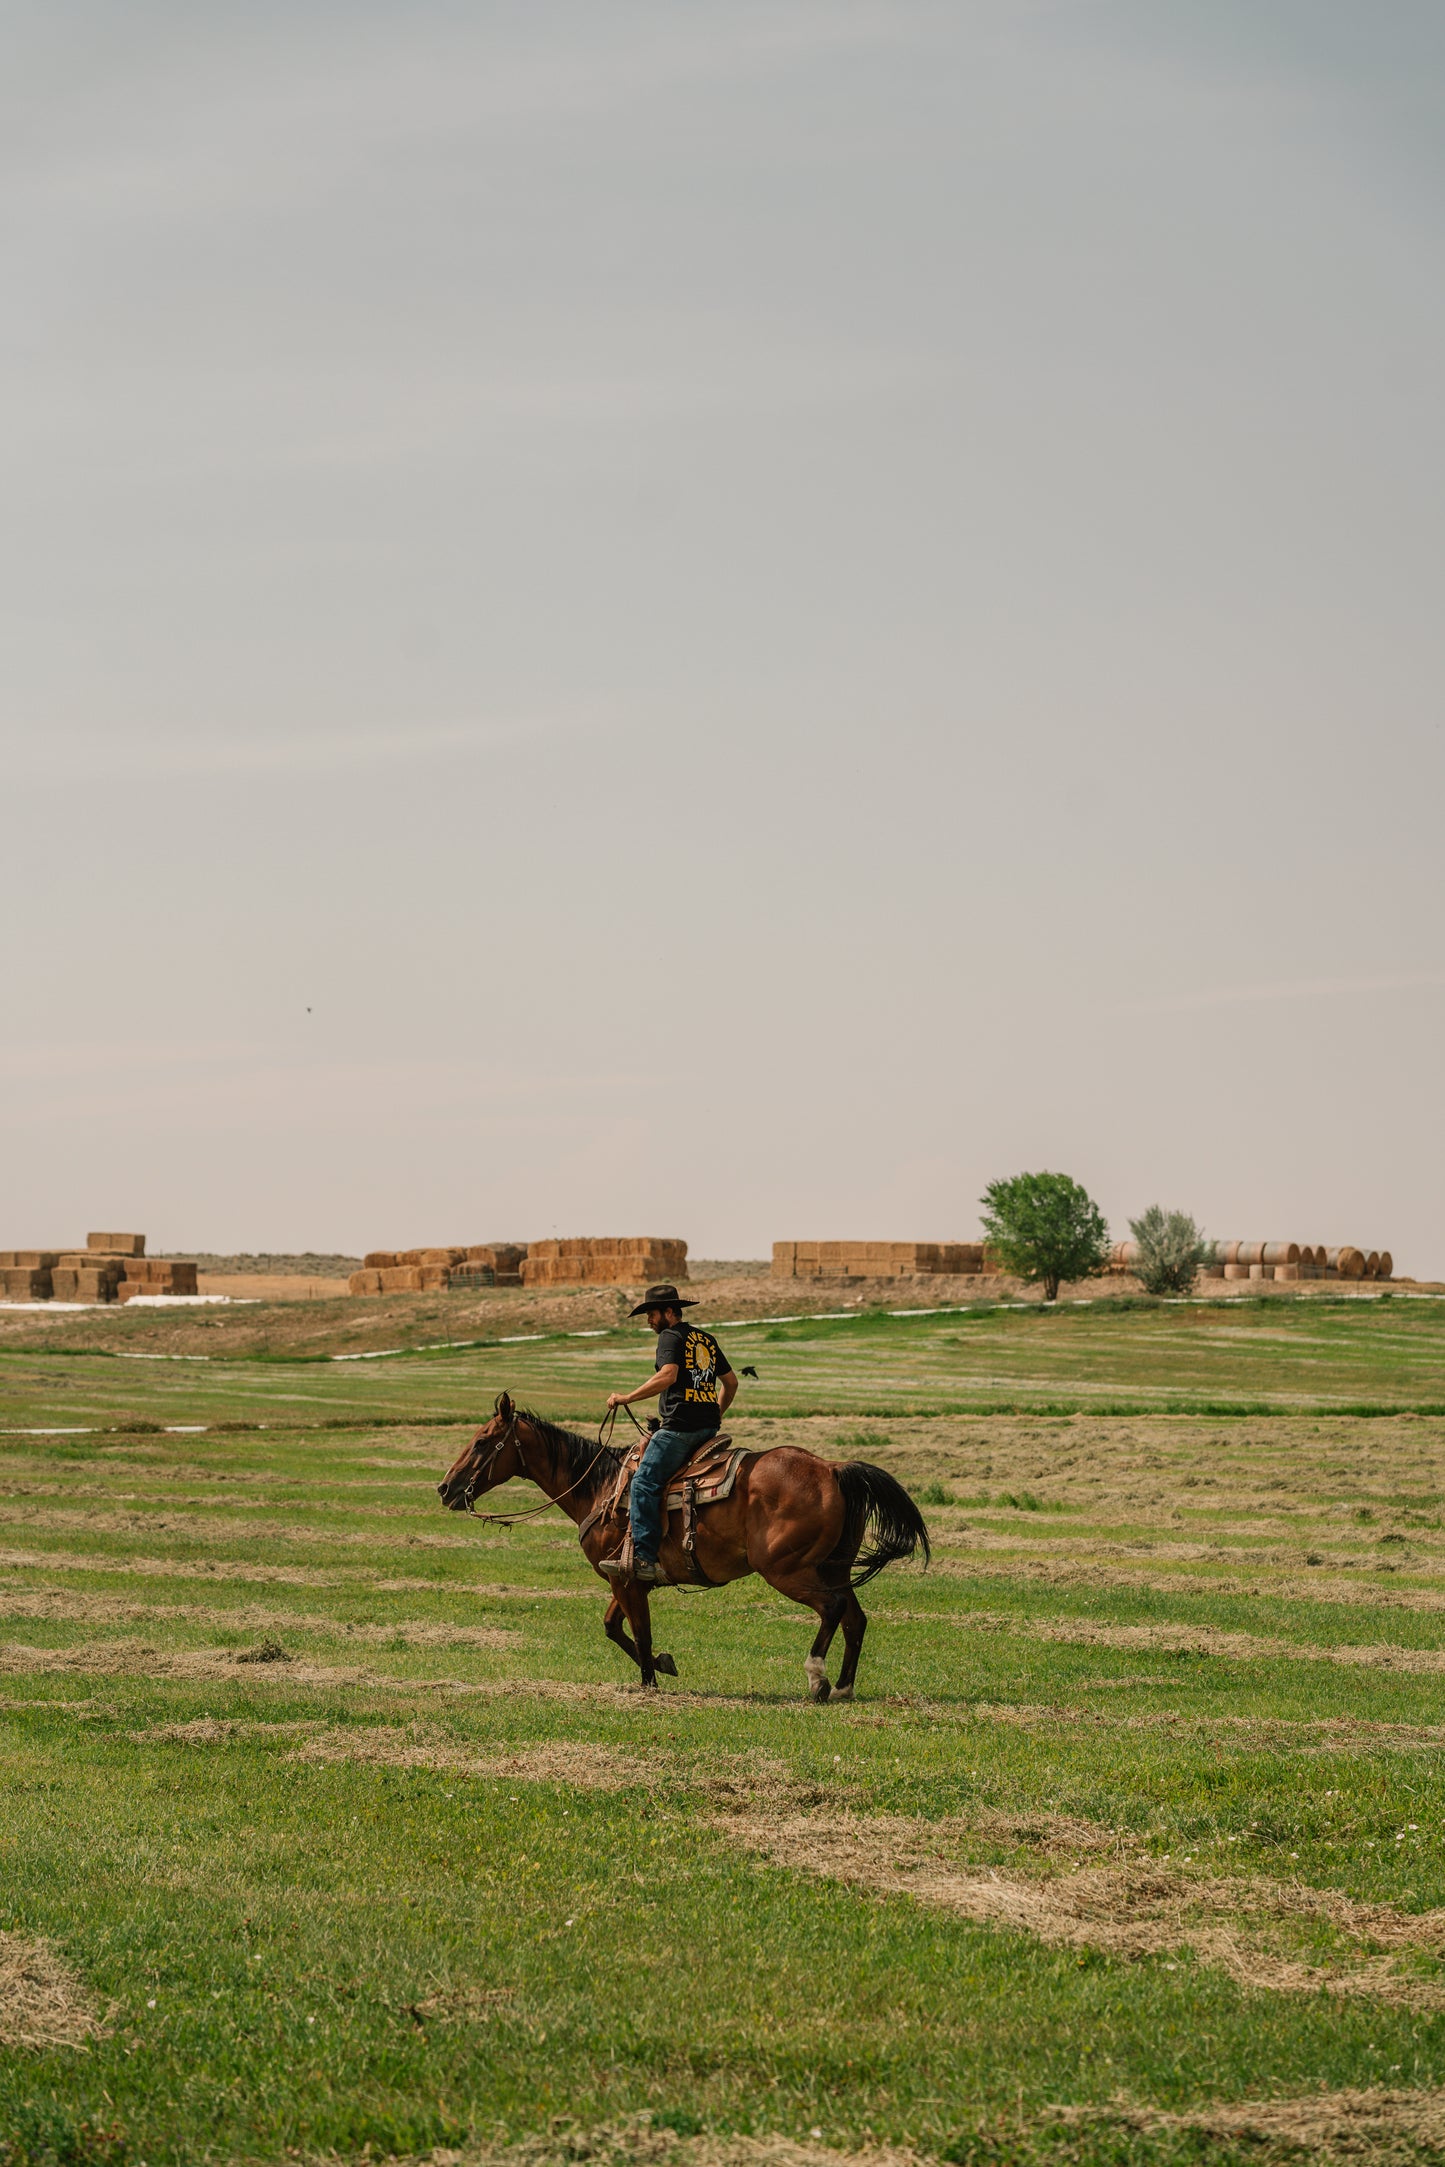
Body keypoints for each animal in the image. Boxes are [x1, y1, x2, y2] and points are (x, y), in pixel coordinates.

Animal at [437, 1395, 927, 1698]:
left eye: (482, 1441)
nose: (445, 1488)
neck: (599, 1487)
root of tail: (832, 1468)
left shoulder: (626, 1581)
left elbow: (638, 1631)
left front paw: (649, 1683)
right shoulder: (628, 1578)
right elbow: (614, 1628)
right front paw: (663, 1664)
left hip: (788, 1570)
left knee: (832, 1609)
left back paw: (817, 1679)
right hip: (833, 1567)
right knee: (854, 1618)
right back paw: (844, 1686)